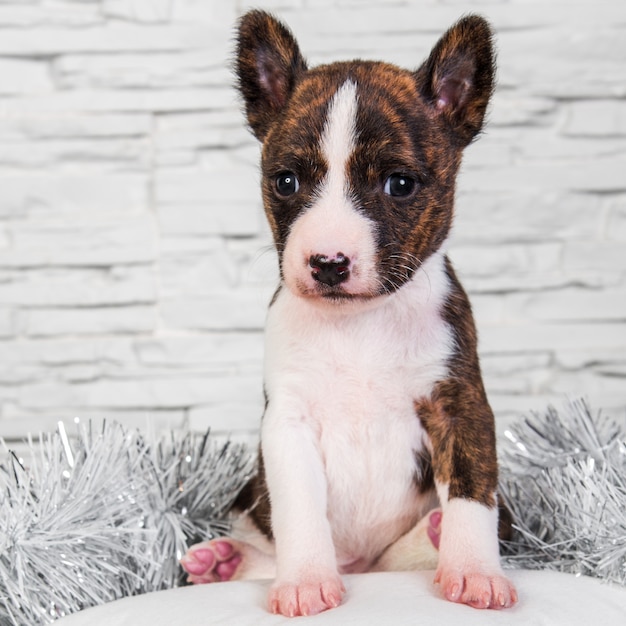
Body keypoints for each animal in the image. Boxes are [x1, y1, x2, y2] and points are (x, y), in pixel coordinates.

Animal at [178, 9, 516, 616]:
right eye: (286, 181)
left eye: (400, 184)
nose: (329, 263)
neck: (361, 322)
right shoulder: (288, 424)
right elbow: (299, 511)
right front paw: (306, 581)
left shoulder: (462, 409)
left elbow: (474, 496)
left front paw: (476, 572)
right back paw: (224, 562)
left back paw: (436, 534)